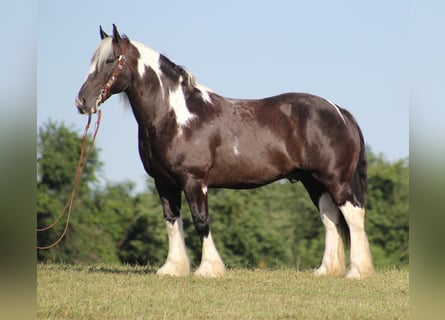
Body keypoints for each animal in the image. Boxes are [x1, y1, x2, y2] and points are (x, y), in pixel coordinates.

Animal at [75, 25, 372, 278]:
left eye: (110, 60)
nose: (82, 102)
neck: (176, 116)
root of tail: (339, 111)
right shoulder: (164, 182)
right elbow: (172, 221)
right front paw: (172, 268)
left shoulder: (194, 181)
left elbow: (201, 221)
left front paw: (208, 269)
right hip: (314, 182)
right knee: (330, 218)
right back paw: (325, 270)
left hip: (335, 180)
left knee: (353, 216)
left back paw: (357, 272)